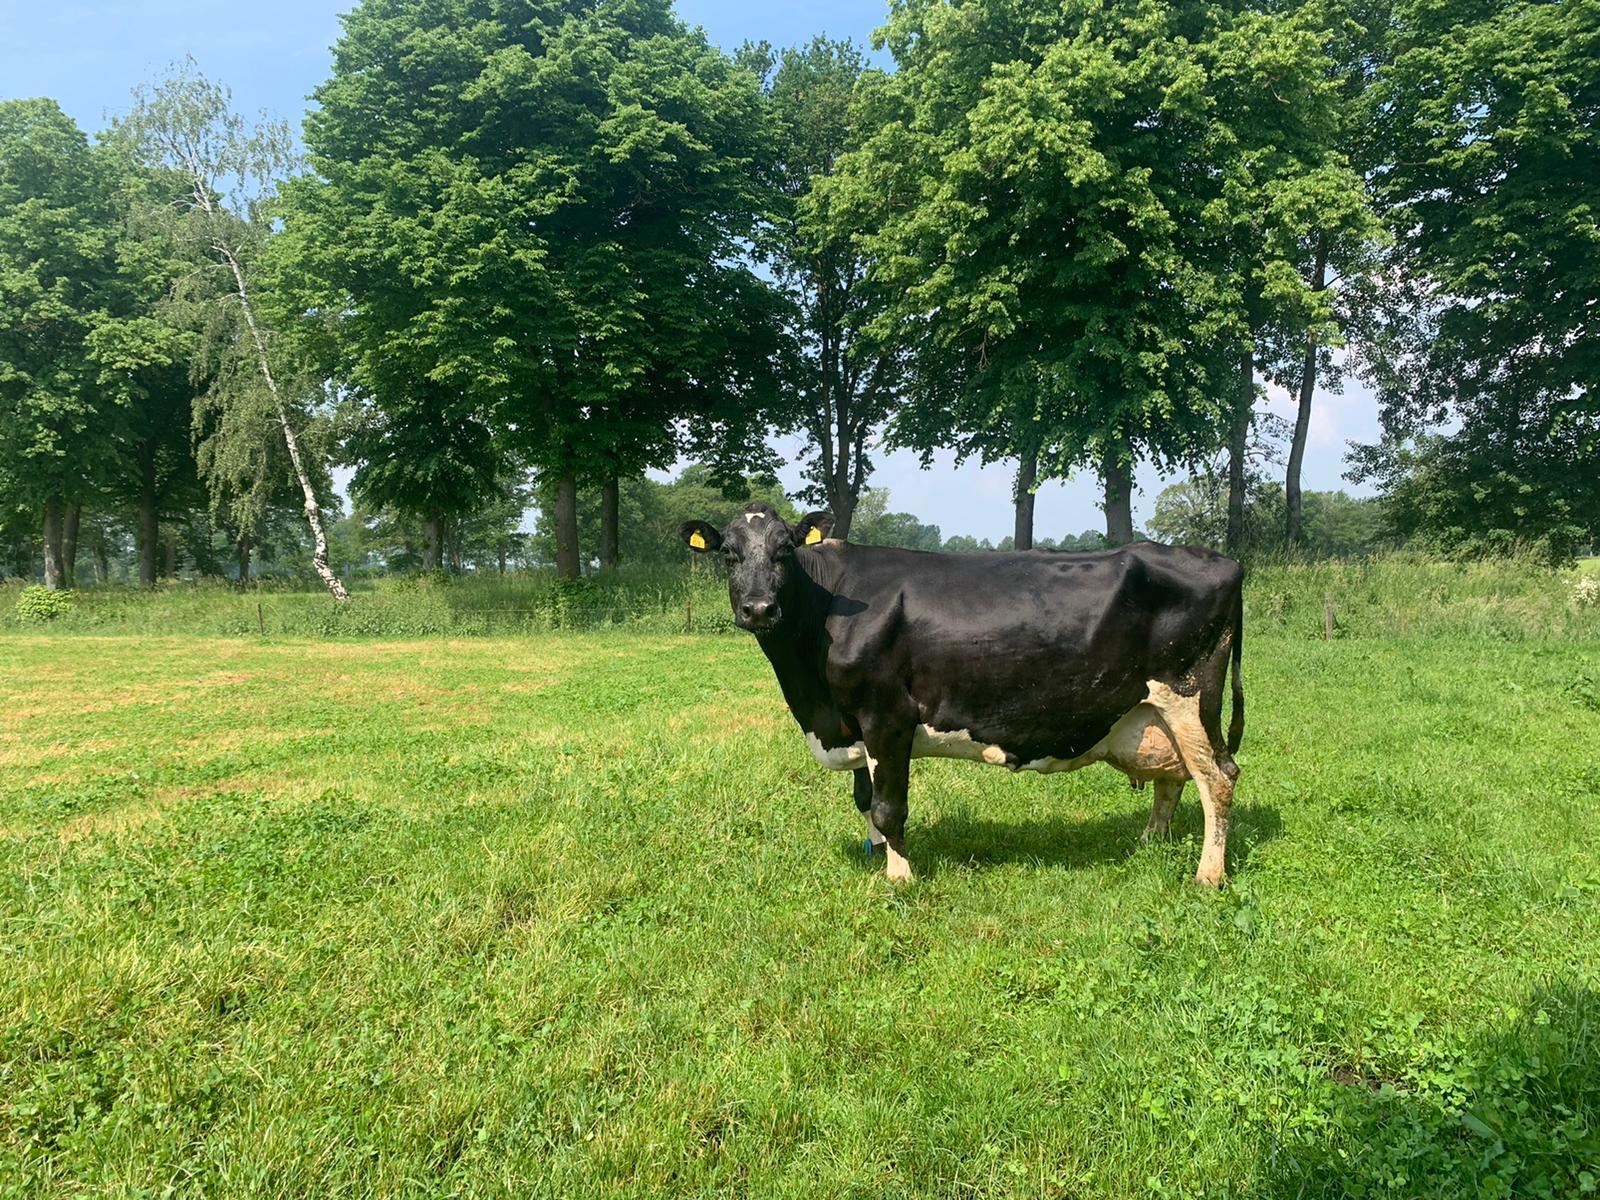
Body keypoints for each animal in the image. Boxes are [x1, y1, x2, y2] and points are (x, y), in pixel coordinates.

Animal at [681, 502, 1241, 889]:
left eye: (784, 550)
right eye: (728, 553)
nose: (759, 608)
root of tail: (1223, 560)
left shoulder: (886, 714)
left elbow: (889, 805)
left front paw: (899, 877)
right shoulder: (852, 721)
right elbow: (865, 798)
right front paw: (876, 853)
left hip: (1190, 695)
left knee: (1217, 778)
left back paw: (1208, 875)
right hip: (1153, 710)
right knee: (1174, 777)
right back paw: (1148, 844)